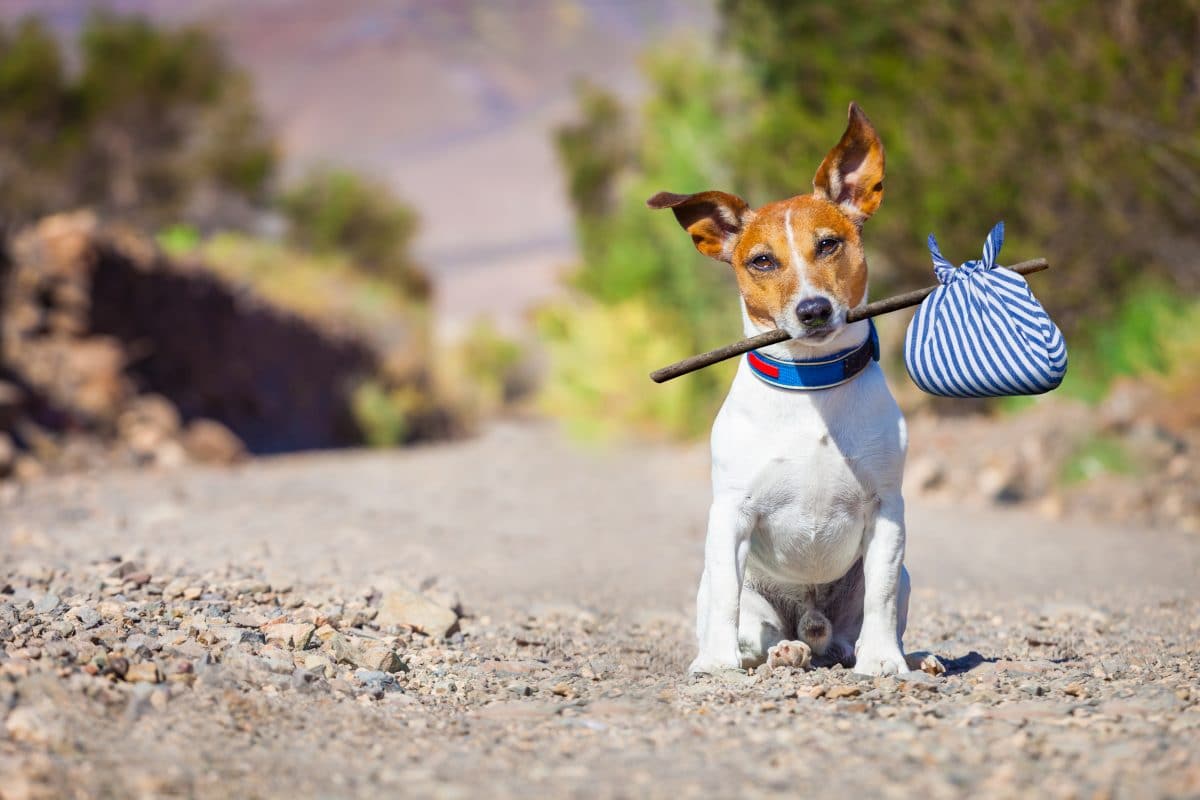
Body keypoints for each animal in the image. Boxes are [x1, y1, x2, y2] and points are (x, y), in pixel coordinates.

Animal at [648, 101, 926, 676]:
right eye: (762, 261)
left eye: (828, 244)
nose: (813, 309)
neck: (812, 386)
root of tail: (812, 625)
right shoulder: (730, 514)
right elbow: (728, 598)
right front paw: (715, 664)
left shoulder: (887, 509)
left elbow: (883, 592)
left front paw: (885, 662)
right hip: (735, 593)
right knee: (757, 629)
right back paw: (782, 650)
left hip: (887, 583)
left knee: (855, 628)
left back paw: (892, 653)